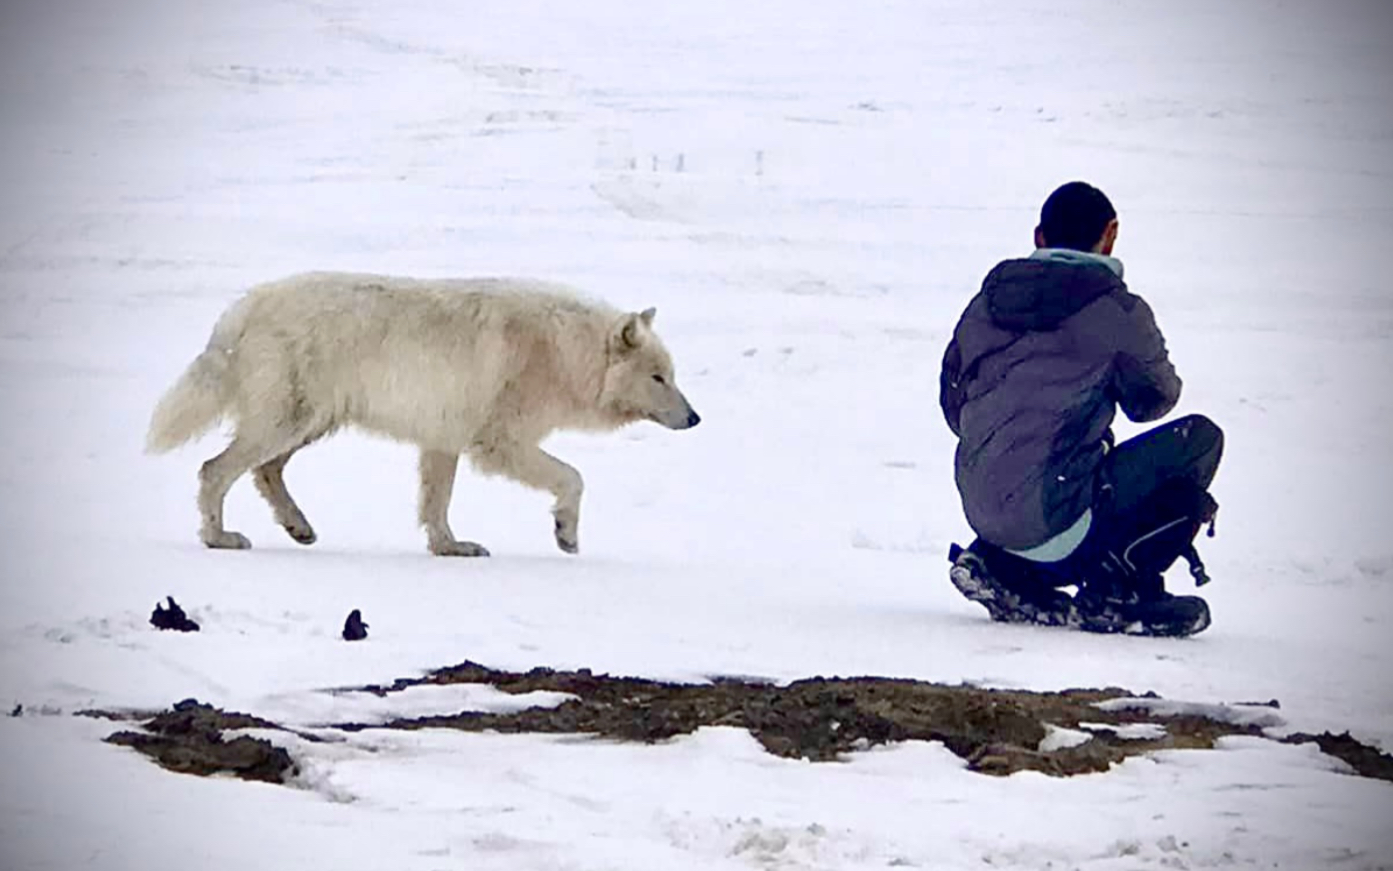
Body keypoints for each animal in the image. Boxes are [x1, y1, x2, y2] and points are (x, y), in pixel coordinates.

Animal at [146, 271, 702, 554]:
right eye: (659, 378)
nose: (695, 419)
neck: (565, 352)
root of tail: (240, 308)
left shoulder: (443, 439)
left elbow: (437, 505)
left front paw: (449, 548)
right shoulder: (498, 442)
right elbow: (573, 477)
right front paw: (565, 533)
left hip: (309, 423)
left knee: (264, 471)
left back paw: (299, 527)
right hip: (289, 420)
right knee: (214, 469)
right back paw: (219, 537)